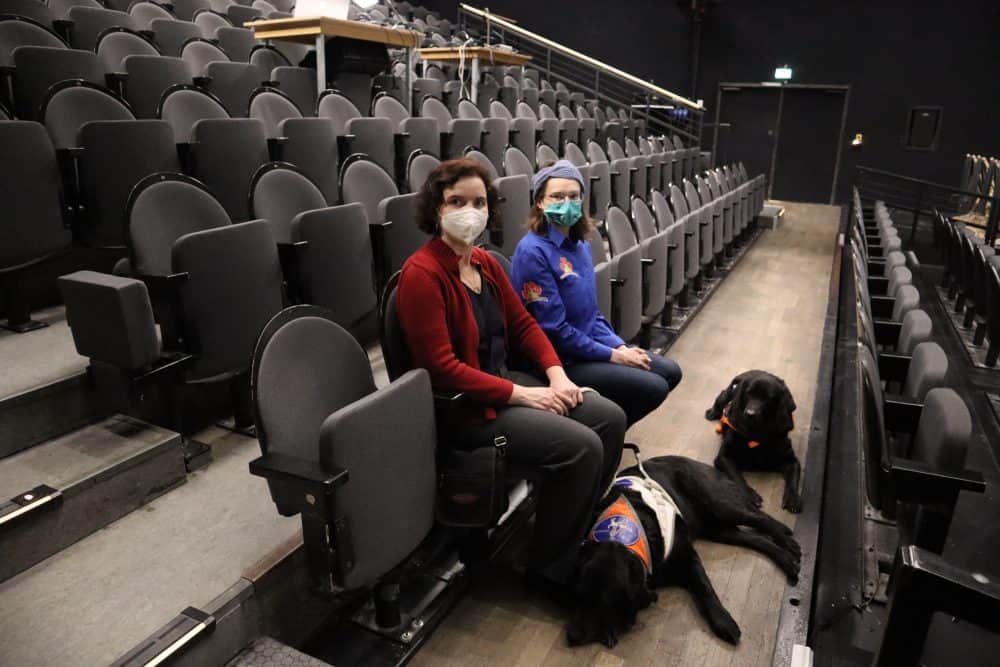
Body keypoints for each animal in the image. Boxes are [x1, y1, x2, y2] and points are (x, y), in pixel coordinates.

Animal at [568, 452, 800, 648]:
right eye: (578, 594)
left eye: (605, 601)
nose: (572, 636)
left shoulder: (688, 556)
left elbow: (705, 588)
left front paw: (724, 621)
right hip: (718, 529)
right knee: (758, 539)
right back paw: (787, 561)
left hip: (717, 503)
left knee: (758, 518)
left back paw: (787, 539)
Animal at [704, 368, 804, 516]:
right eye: (748, 393)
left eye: (768, 398)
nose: (750, 414)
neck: (756, 434)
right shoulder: (723, 457)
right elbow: (736, 476)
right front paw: (749, 495)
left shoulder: (791, 460)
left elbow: (793, 479)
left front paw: (792, 498)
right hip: (728, 394)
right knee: (721, 397)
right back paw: (711, 413)